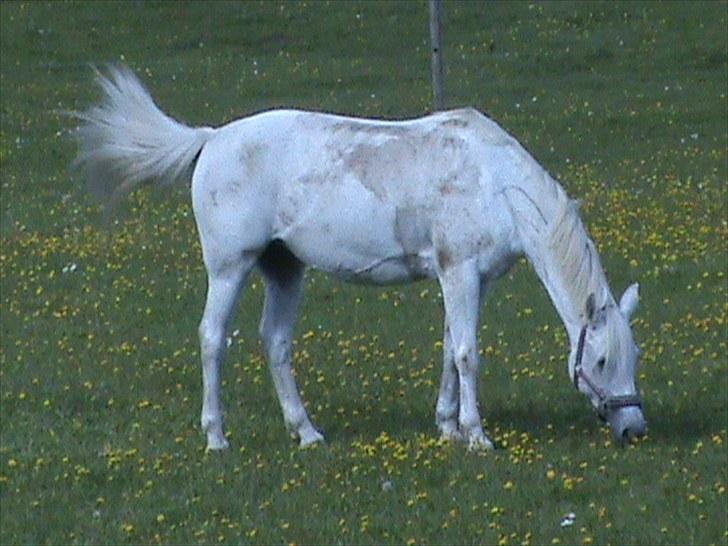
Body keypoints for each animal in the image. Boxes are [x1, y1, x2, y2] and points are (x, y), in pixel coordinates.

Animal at [74, 66, 646, 451]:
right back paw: (217, 438)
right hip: (230, 267)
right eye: (600, 360)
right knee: (213, 339)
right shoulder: (458, 272)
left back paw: (306, 433)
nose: (633, 428)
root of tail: (212, 139)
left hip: (285, 270)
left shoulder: (468, 279)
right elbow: (467, 354)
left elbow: (449, 350)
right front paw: (477, 436)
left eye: (634, 357)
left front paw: (447, 427)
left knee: (275, 342)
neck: (494, 181)